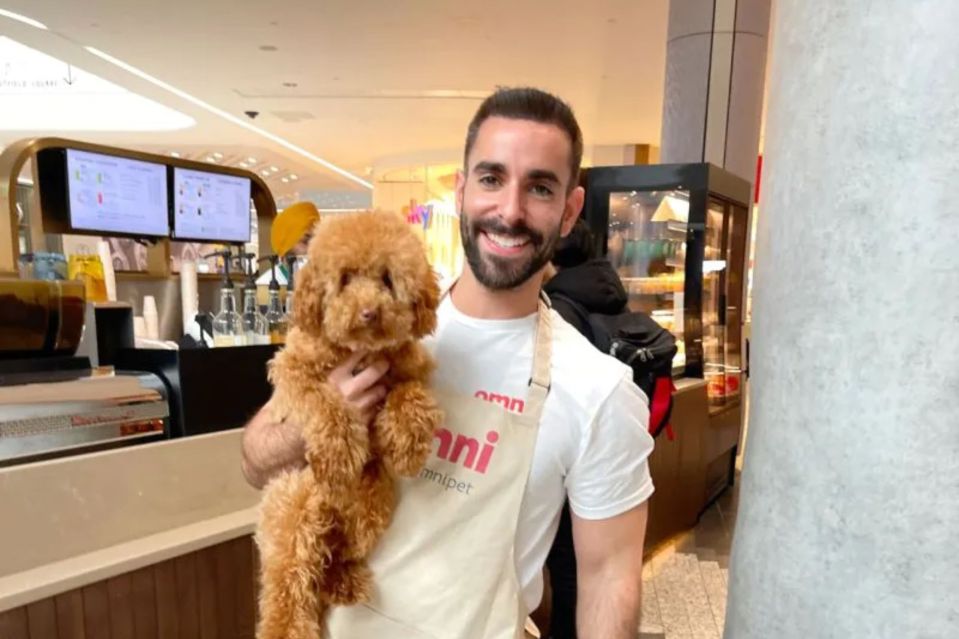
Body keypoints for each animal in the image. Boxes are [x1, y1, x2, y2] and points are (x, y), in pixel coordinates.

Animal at [258, 212, 446, 639]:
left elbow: (410, 395)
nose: (369, 313)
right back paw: (287, 627)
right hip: (293, 507)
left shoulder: (407, 370)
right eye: (344, 278)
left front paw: (408, 444)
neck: (359, 351)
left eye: (387, 279)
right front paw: (338, 452)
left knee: (332, 558)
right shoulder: (294, 370)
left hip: (370, 507)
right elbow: (324, 401)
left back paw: (342, 582)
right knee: (290, 581)